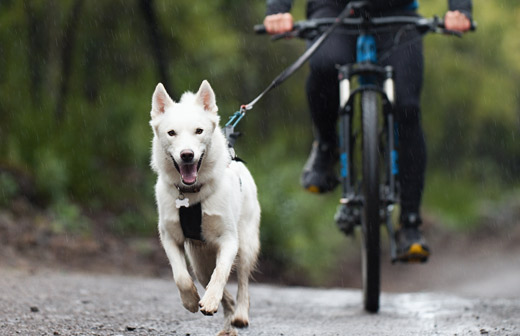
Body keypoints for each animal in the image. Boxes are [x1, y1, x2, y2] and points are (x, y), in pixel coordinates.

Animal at [149, 80, 260, 334]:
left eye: (199, 131)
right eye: (171, 133)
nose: (187, 155)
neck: (191, 194)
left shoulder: (229, 240)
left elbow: (221, 273)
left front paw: (209, 300)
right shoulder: (170, 237)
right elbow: (180, 276)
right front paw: (191, 300)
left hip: (246, 245)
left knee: (242, 283)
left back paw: (239, 314)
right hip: (199, 262)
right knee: (215, 285)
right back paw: (226, 318)